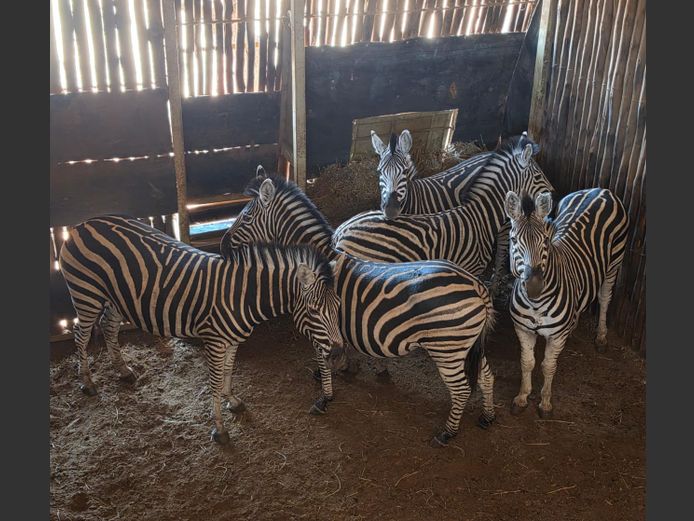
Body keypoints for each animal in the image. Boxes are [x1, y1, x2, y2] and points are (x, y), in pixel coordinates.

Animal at [59, 215, 343, 444]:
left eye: (338, 306)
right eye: (314, 311)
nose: (338, 355)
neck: (244, 296)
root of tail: (82, 225)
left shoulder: (233, 339)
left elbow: (229, 371)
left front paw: (232, 400)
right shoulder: (215, 341)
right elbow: (215, 381)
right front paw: (220, 429)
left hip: (117, 298)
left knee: (108, 326)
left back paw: (123, 370)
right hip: (86, 294)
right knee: (81, 334)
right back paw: (87, 382)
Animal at [221, 174, 497, 447]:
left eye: (246, 217)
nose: (222, 246)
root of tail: (477, 286)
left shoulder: (318, 326)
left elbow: (323, 362)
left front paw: (324, 396)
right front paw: (347, 367)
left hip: (447, 348)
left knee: (461, 389)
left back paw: (447, 433)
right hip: (468, 345)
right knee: (486, 376)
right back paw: (487, 416)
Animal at [334, 133, 555, 298]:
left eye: (404, 171)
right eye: (537, 175)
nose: (552, 191)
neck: (479, 215)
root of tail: (341, 230)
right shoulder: (471, 267)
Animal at [504, 188, 629, 418]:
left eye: (545, 240)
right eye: (514, 240)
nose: (534, 286)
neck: (536, 304)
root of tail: (601, 190)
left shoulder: (555, 337)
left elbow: (548, 366)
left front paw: (545, 403)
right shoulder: (522, 330)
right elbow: (527, 362)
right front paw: (522, 397)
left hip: (614, 263)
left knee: (604, 299)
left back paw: (601, 337)